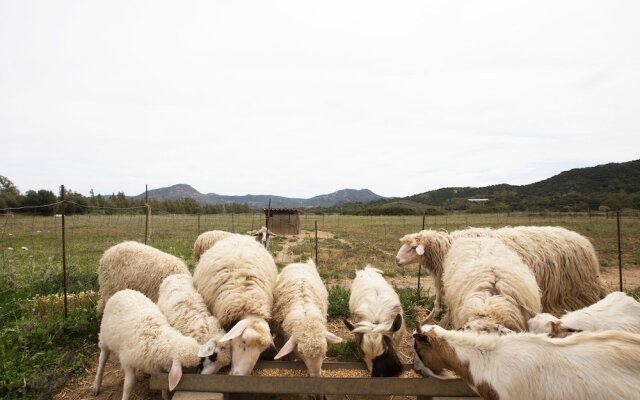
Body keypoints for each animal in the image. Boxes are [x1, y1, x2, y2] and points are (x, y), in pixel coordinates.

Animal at [398, 227, 608, 318]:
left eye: (413, 247)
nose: (397, 261)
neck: (446, 248)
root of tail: (583, 240)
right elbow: (437, 304)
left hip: (580, 285)